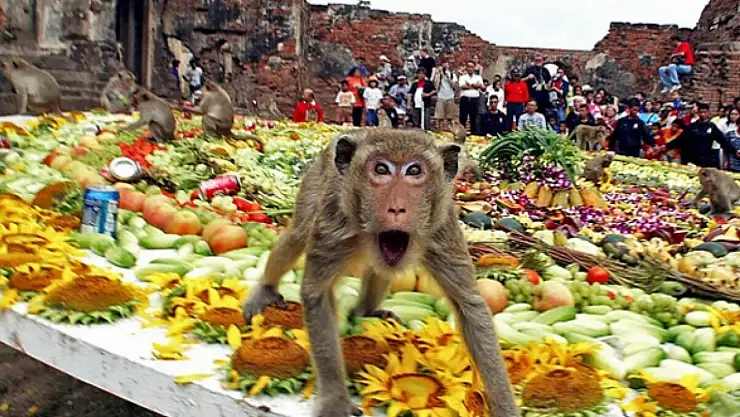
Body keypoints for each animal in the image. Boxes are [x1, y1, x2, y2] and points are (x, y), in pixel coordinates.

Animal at [242, 129, 520, 417]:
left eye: (414, 171)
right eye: (381, 169)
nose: (396, 208)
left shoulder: (442, 230)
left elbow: (470, 306)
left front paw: (505, 407)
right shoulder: (334, 223)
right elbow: (316, 294)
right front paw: (335, 400)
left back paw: (365, 311)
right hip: (316, 181)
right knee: (298, 234)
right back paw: (266, 289)